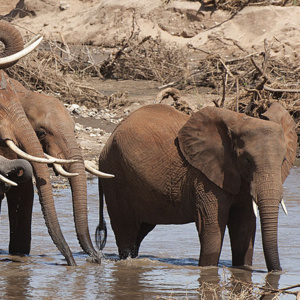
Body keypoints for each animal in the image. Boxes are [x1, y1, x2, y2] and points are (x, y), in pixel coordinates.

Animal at [98, 102, 298, 272]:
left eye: (284, 161)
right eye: (247, 161)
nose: (277, 271)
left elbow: (244, 228)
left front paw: (243, 269)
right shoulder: (204, 178)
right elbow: (212, 227)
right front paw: (208, 270)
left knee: (140, 231)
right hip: (116, 176)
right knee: (126, 231)